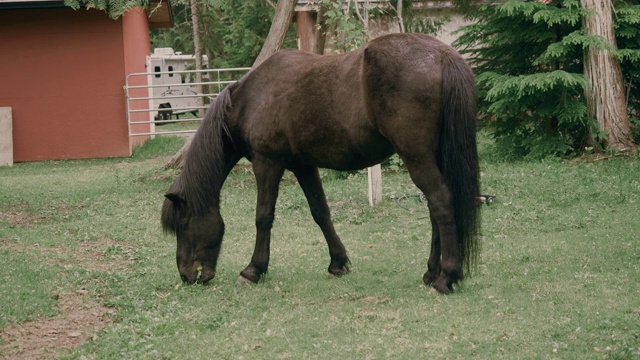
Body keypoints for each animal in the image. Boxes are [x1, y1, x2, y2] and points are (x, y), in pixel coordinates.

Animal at [160, 32, 480, 294]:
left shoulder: (267, 163)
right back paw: (431, 272)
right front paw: (338, 262)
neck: (253, 98)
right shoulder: (303, 166)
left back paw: (446, 277)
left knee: (441, 202)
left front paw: (253, 270)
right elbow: (320, 212)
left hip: (417, 157)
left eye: (184, 225)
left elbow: (263, 216)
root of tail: (442, 55)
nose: (187, 275)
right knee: (435, 209)